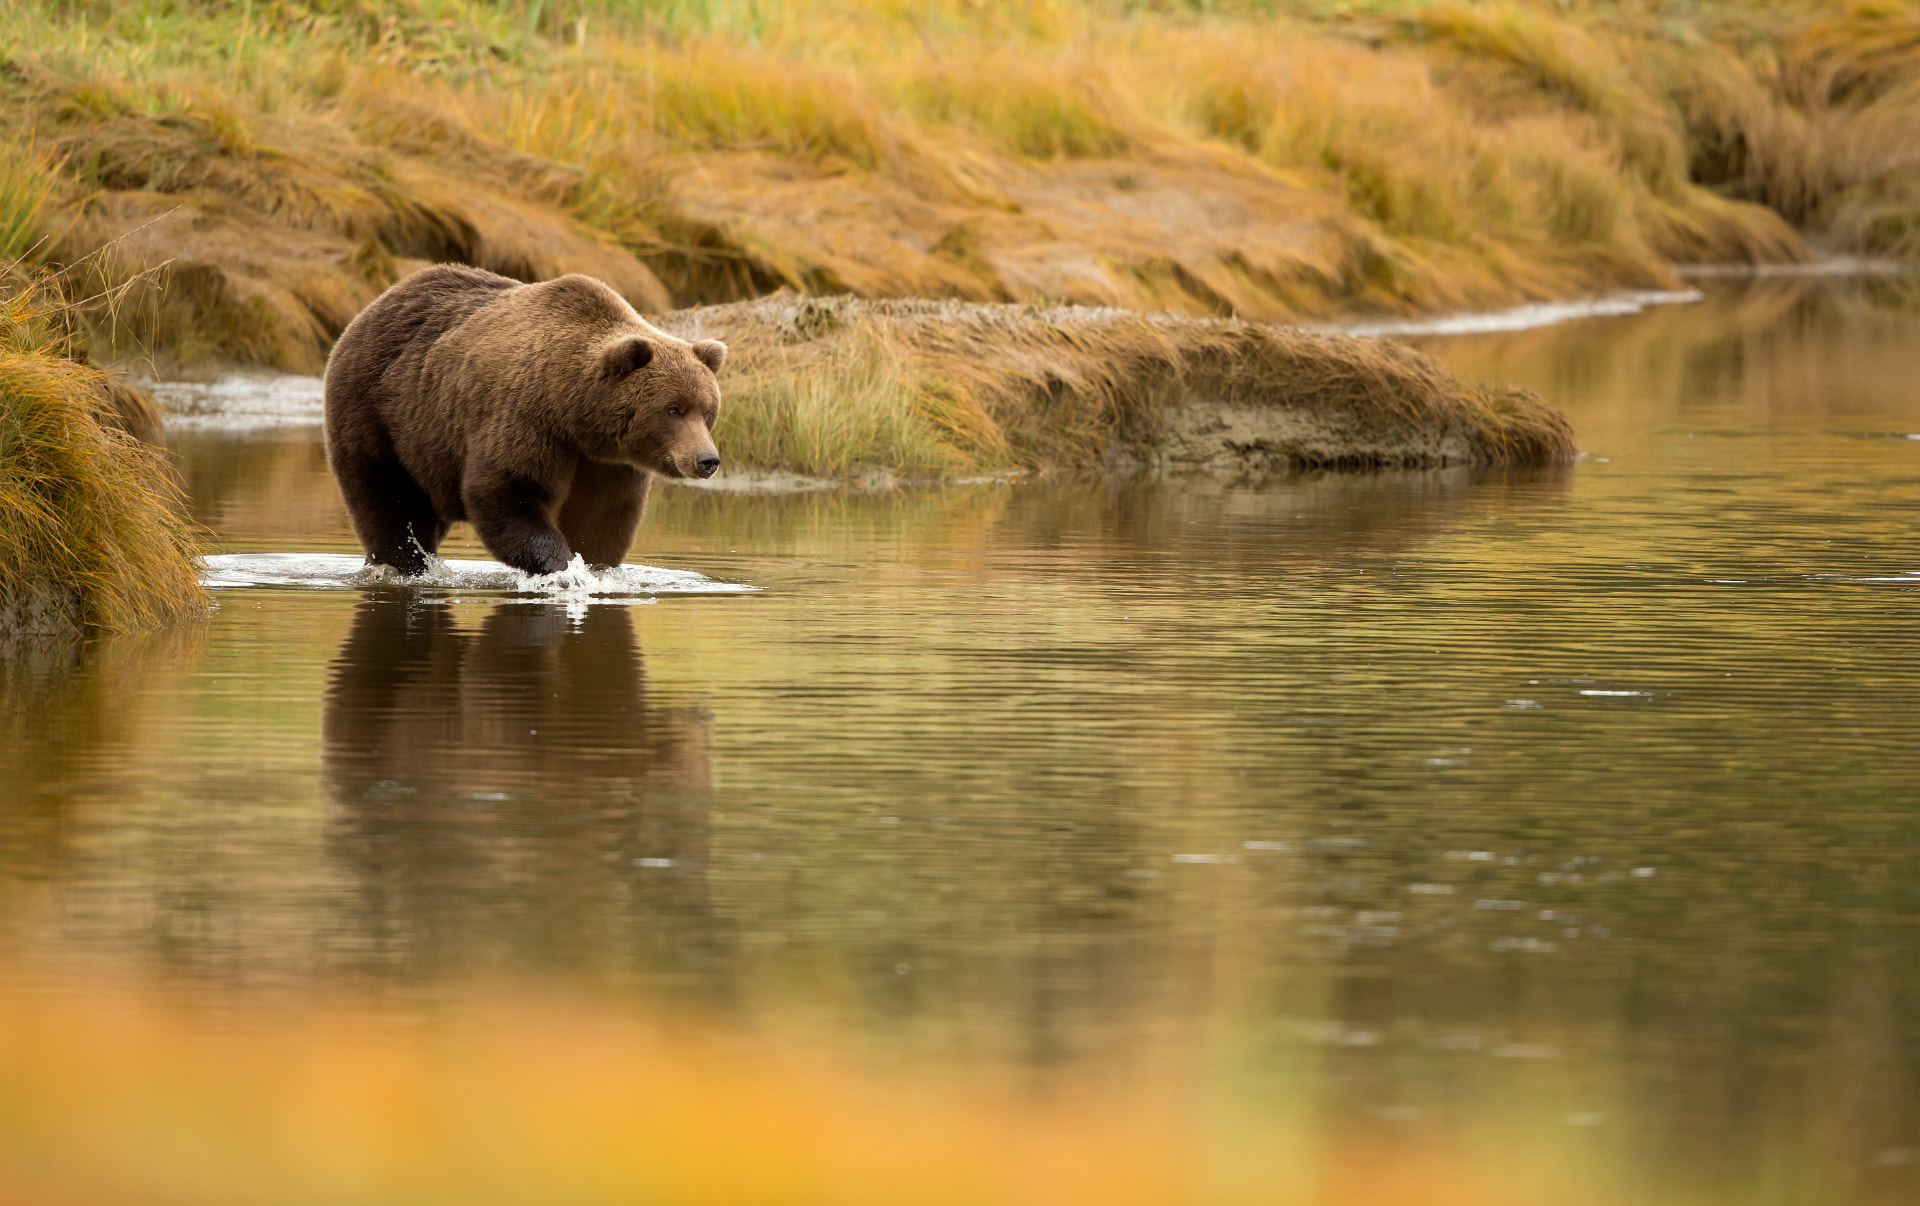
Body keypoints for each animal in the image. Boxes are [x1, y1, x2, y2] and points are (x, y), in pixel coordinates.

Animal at [322, 264, 727, 576]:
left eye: (708, 410)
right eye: (673, 409)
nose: (707, 459)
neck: (574, 413)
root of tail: (371, 307)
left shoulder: (607, 463)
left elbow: (603, 517)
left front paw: (595, 566)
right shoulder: (526, 418)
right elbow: (506, 488)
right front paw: (561, 565)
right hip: (379, 414)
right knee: (390, 503)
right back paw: (403, 563)